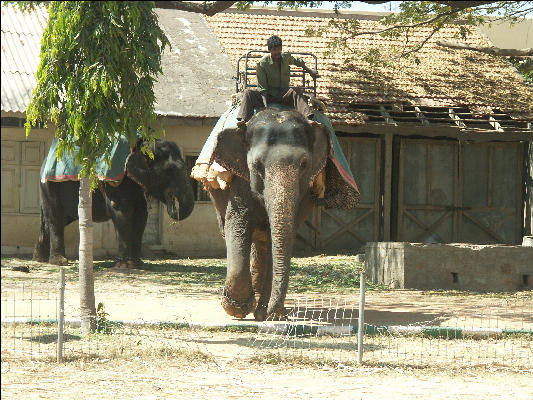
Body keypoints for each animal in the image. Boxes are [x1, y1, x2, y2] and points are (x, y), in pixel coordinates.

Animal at [31, 139, 193, 268]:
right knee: (55, 218)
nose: (172, 204)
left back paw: (40, 259)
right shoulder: (116, 182)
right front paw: (124, 266)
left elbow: (141, 216)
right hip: (49, 186)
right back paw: (59, 262)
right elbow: (122, 212)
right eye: (169, 170)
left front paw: (137, 264)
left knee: (53, 221)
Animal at [208, 108, 358, 320]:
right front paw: (238, 309)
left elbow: (279, 236)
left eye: (304, 164)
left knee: (263, 243)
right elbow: (238, 224)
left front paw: (266, 314)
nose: (276, 311)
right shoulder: (240, 180)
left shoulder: (306, 191)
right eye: (257, 165)